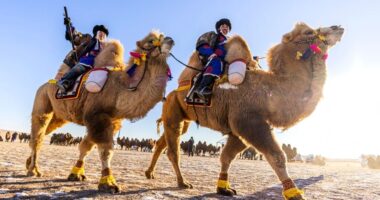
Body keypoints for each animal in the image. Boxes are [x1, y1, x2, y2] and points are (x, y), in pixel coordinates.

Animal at [26, 30, 174, 193]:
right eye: (150, 41)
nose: (170, 40)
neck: (120, 89)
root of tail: (44, 85)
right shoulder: (96, 116)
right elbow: (105, 150)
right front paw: (108, 183)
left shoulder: (110, 120)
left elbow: (86, 146)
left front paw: (76, 174)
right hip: (42, 101)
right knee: (38, 134)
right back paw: (34, 170)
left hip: (58, 116)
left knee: (42, 134)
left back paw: (28, 164)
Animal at [145, 22, 344, 199]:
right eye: (309, 32)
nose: (338, 27)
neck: (270, 91)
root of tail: (172, 93)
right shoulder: (248, 122)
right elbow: (277, 156)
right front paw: (294, 194)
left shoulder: (239, 130)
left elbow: (227, 156)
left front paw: (223, 188)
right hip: (173, 111)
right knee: (173, 151)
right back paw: (182, 182)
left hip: (181, 117)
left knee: (162, 143)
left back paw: (150, 173)